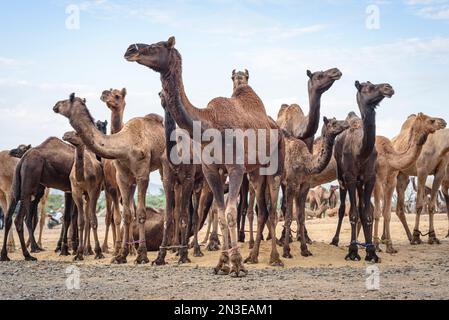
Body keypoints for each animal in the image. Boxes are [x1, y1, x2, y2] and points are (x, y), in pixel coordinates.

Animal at [61, 131, 104, 262]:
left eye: (76, 133)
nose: (65, 135)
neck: (82, 176)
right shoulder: (76, 191)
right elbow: (80, 221)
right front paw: (78, 253)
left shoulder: (93, 190)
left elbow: (93, 220)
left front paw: (99, 252)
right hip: (85, 196)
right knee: (86, 219)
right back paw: (85, 250)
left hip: (93, 193)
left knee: (89, 218)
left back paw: (89, 250)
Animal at [124, 35, 282, 276]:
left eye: (156, 46)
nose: (129, 50)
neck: (210, 123)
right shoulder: (211, 170)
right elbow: (220, 212)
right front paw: (222, 263)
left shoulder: (235, 168)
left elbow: (229, 212)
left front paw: (237, 264)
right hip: (254, 171)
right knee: (262, 208)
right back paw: (254, 256)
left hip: (273, 165)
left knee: (272, 209)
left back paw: (275, 258)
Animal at [330, 80, 394, 262]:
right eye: (368, 87)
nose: (388, 87)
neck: (360, 151)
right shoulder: (350, 178)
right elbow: (352, 214)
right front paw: (352, 251)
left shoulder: (370, 178)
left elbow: (367, 213)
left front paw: (371, 251)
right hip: (342, 178)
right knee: (343, 208)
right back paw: (335, 240)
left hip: (360, 183)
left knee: (361, 208)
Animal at [372, 112, 444, 252]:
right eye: (431, 120)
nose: (443, 122)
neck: (389, 157)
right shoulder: (377, 179)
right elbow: (377, 213)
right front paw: (376, 246)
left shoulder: (391, 180)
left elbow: (387, 213)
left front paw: (390, 247)